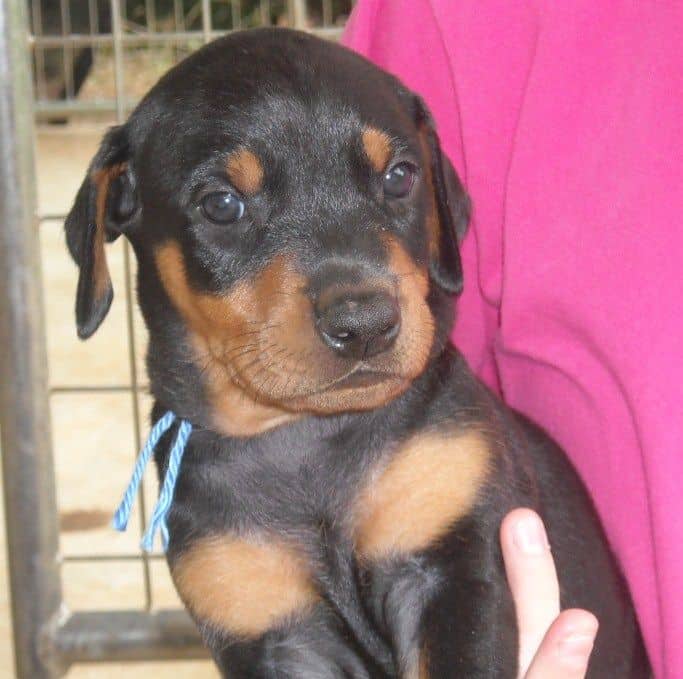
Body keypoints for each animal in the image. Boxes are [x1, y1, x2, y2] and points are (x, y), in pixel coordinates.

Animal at [65, 27, 652, 679]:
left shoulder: (451, 563)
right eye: (221, 204)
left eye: (399, 176)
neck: (307, 442)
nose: (366, 323)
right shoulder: (265, 624)